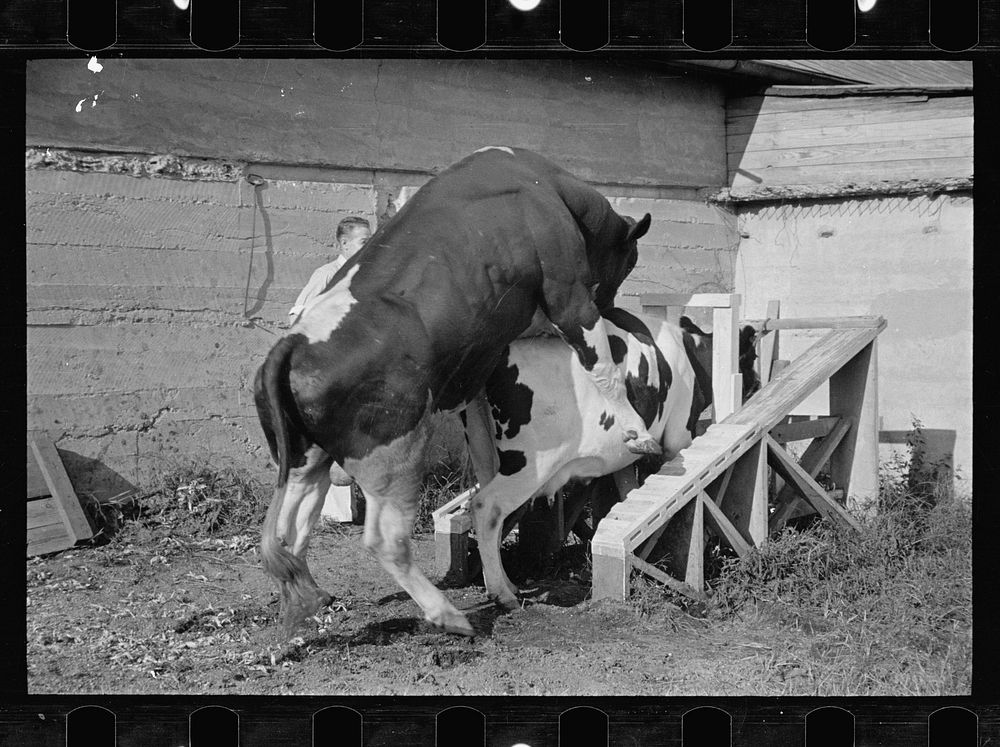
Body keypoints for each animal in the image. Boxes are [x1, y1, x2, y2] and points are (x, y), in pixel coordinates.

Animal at [254, 148, 652, 636]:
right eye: (629, 260)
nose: (615, 308)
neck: (544, 186)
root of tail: (291, 343)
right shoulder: (569, 296)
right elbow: (603, 367)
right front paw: (636, 431)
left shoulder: (477, 368)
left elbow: (485, 463)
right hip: (394, 454)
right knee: (385, 539)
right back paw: (449, 615)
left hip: (307, 458)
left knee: (291, 529)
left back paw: (312, 601)